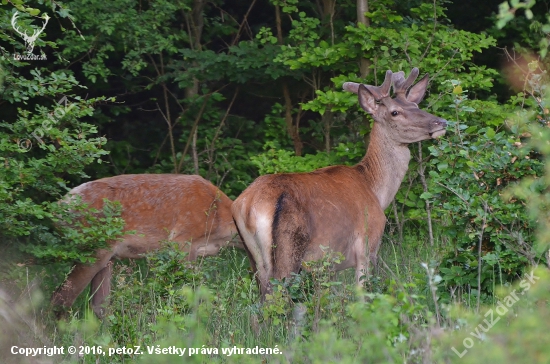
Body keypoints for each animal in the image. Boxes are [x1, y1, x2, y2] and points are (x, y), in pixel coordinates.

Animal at [51, 175, 242, 318]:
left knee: (98, 305)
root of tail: (59, 207)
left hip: (107, 256)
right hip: (93, 249)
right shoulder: (182, 241)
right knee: (60, 298)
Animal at [233, 67, 448, 298]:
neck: (376, 190)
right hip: (288, 249)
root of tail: (248, 206)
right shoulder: (368, 244)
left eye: (416, 106)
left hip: (255, 260)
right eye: (395, 112)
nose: (441, 122)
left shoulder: (328, 265)